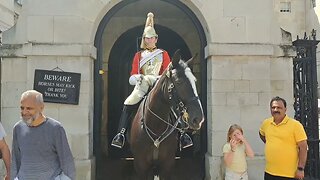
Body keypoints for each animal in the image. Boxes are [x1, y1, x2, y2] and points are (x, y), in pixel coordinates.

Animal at [129, 50, 204, 179]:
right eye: (178, 81)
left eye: (194, 81)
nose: (198, 118)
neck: (156, 125)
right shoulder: (141, 167)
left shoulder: (167, 166)